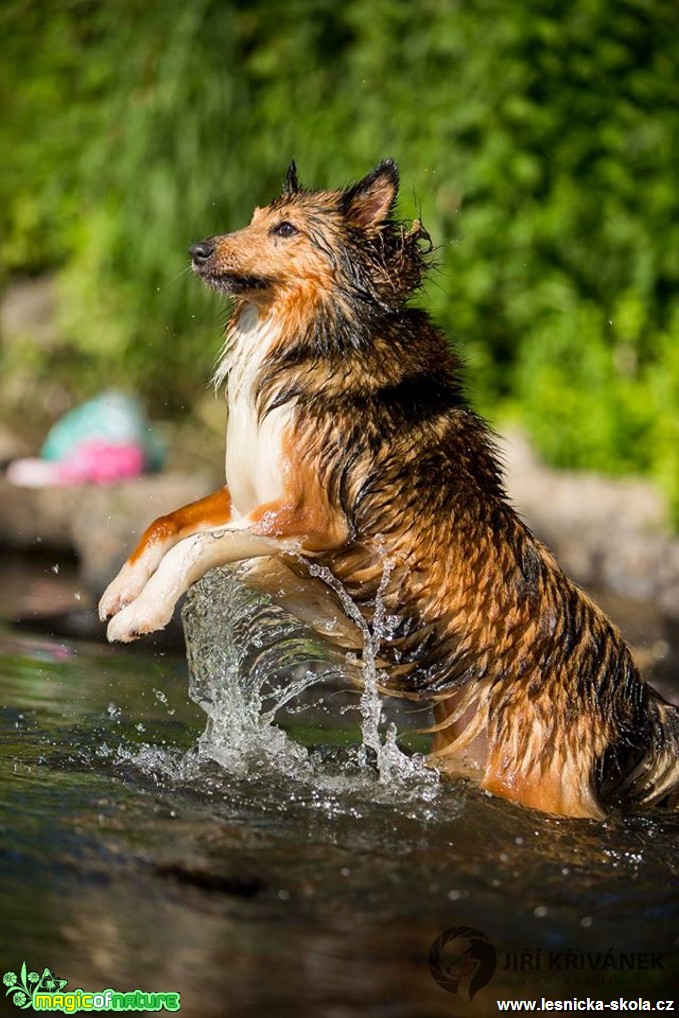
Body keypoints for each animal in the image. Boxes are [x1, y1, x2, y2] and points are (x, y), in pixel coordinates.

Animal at [100, 162, 679, 822]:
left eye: (285, 229)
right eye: (251, 219)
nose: (198, 250)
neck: (311, 341)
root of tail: (636, 699)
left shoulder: (310, 520)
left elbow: (194, 548)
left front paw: (143, 614)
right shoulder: (249, 498)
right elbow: (166, 524)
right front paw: (119, 593)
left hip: (532, 778)